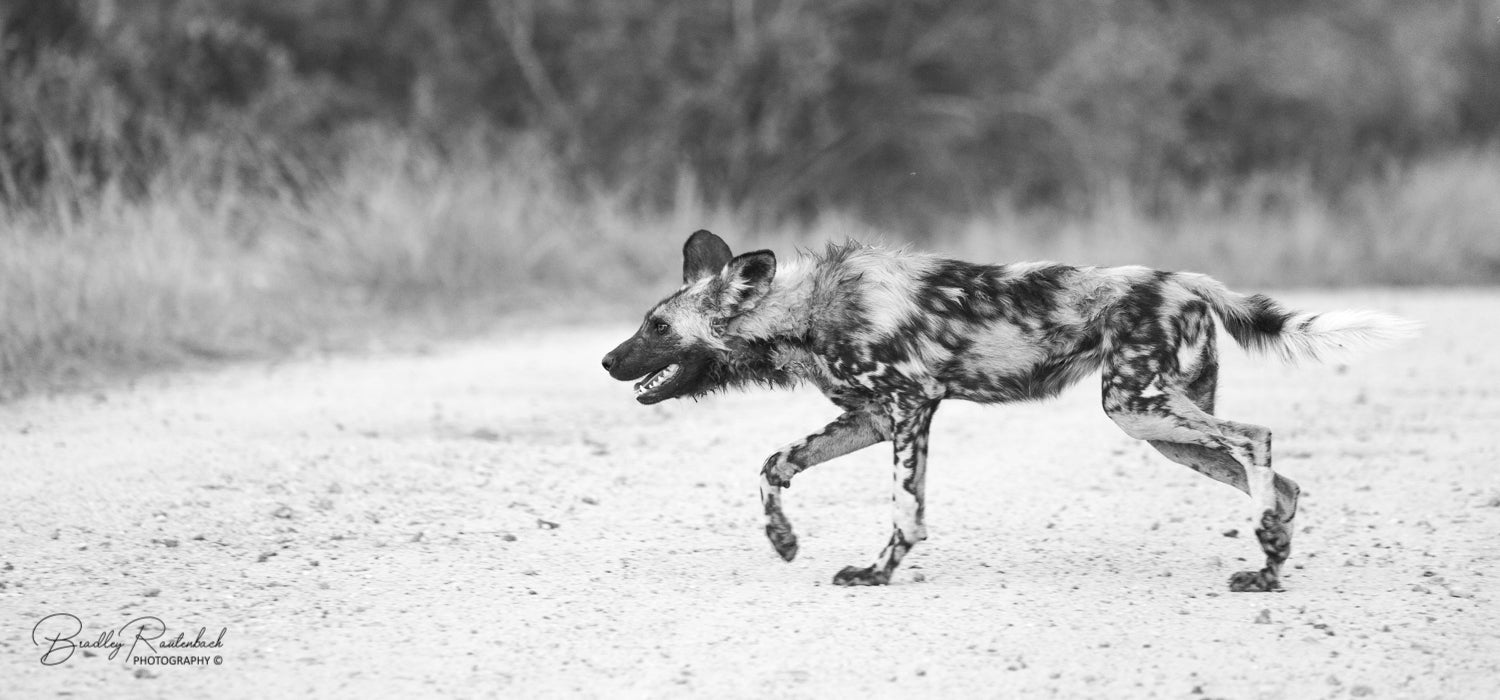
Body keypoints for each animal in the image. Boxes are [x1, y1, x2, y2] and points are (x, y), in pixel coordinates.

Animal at [600, 230, 1416, 590]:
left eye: (658, 328)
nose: (607, 361)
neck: (804, 309)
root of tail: (1183, 278)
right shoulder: (870, 417)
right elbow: (774, 465)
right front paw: (783, 541)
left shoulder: (910, 408)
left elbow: (905, 512)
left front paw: (877, 573)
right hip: (1163, 427)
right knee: (1284, 483)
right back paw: (1269, 566)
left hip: (1139, 408)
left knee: (1258, 439)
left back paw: (1267, 557)